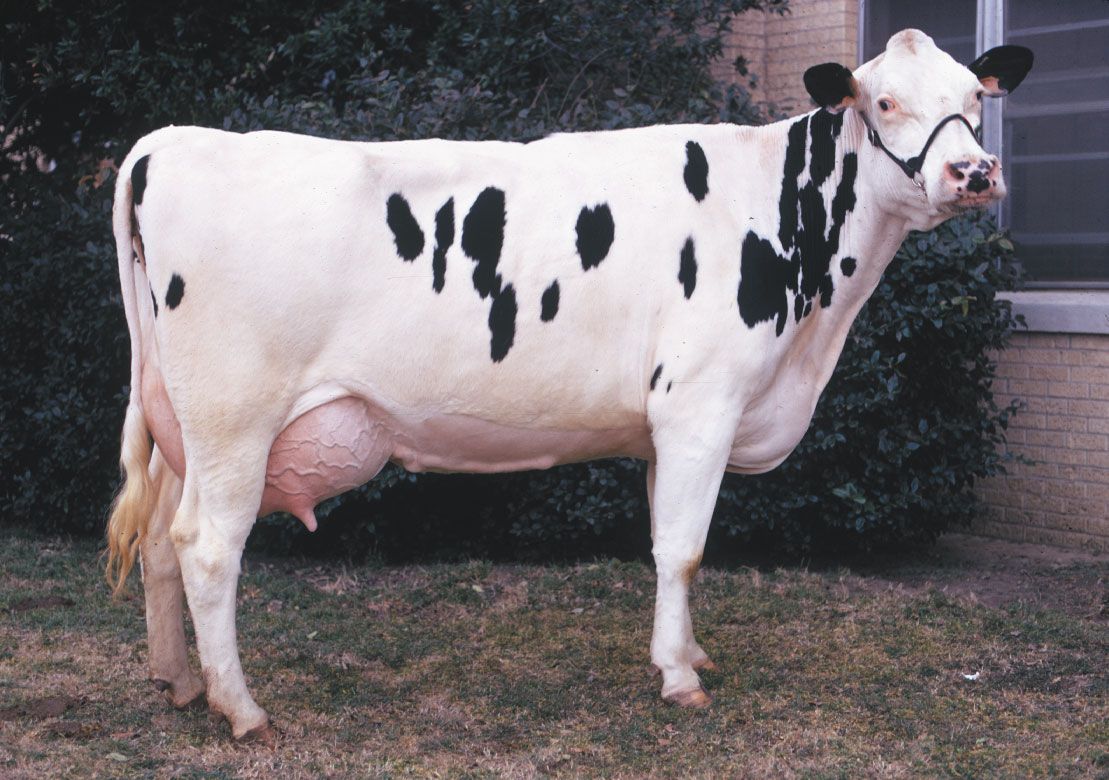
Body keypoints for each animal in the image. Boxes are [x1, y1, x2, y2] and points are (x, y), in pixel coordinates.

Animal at [105, 30, 1032, 741]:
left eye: (972, 95)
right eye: (884, 103)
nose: (973, 172)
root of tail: (169, 141)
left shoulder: (667, 423)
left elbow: (666, 544)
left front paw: (684, 652)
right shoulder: (702, 403)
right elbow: (684, 547)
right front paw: (680, 680)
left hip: (182, 427)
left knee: (158, 540)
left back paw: (178, 683)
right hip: (235, 420)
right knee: (207, 548)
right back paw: (241, 709)